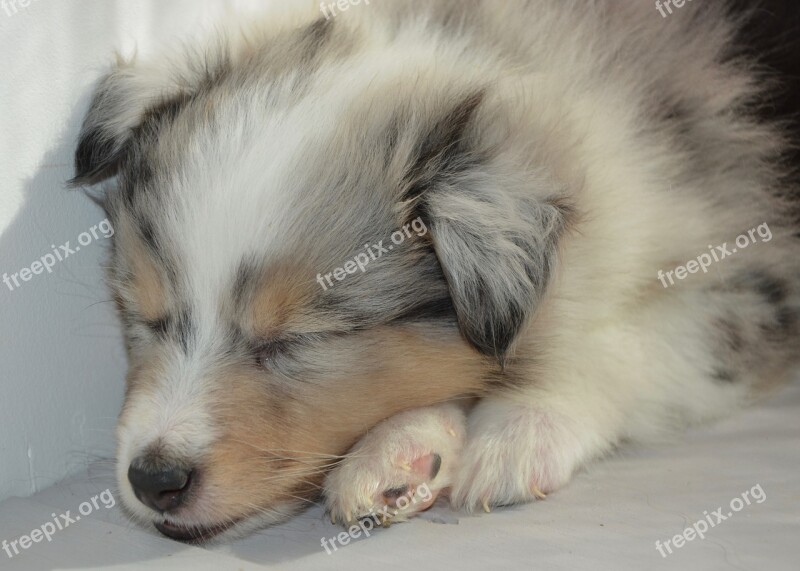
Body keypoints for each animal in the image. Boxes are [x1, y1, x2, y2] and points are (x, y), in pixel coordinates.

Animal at [70, 0, 800, 544]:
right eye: (144, 316)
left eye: (298, 342)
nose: (154, 479)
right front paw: (401, 446)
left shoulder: (753, 275)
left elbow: (618, 342)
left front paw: (515, 425)